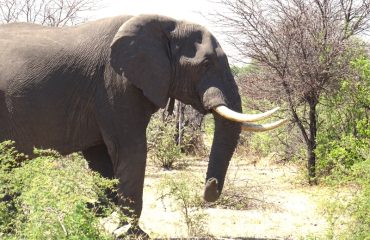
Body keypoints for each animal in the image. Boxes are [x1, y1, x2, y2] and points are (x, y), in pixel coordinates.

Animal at [0, 13, 286, 236]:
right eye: (206, 63)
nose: (210, 189)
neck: (167, 23)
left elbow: (101, 158)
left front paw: (89, 209)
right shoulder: (115, 84)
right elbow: (131, 149)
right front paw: (133, 233)